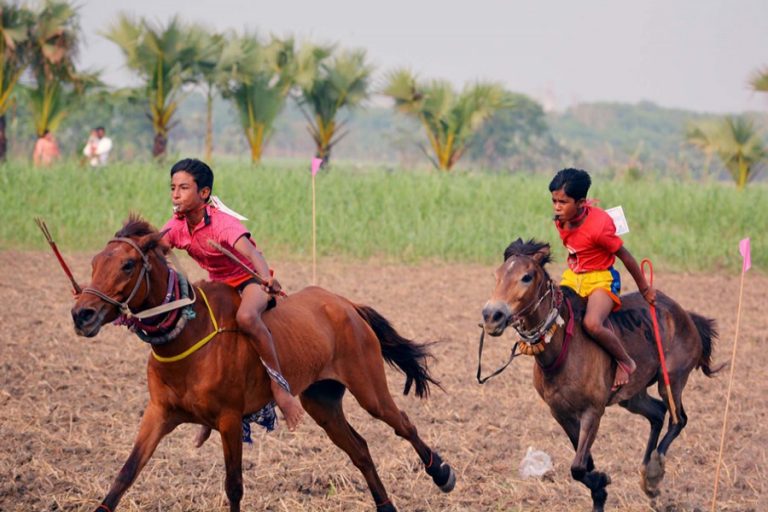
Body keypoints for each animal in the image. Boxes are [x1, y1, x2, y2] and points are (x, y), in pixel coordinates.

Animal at [70, 217, 456, 512]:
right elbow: (125, 474)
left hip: (369, 390)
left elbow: (234, 485)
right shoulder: (159, 413)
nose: (82, 314)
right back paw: (386, 505)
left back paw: (442, 474)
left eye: (127, 264)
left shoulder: (228, 419)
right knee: (360, 449)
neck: (189, 332)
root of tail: (344, 303)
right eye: (94, 263)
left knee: (403, 424)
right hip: (322, 402)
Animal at [480, 238, 720, 510]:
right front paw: (599, 489)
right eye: (497, 275)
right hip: (632, 396)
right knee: (658, 413)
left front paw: (602, 481)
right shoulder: (561, 413)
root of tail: (687, 316)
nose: (492, 315)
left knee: (678, 419)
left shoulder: (593, 411)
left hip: (672, 378)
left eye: (526, 277)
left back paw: (653, 474)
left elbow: (577, 466)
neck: (563, 349)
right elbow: (584, 464)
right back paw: (647, 474)